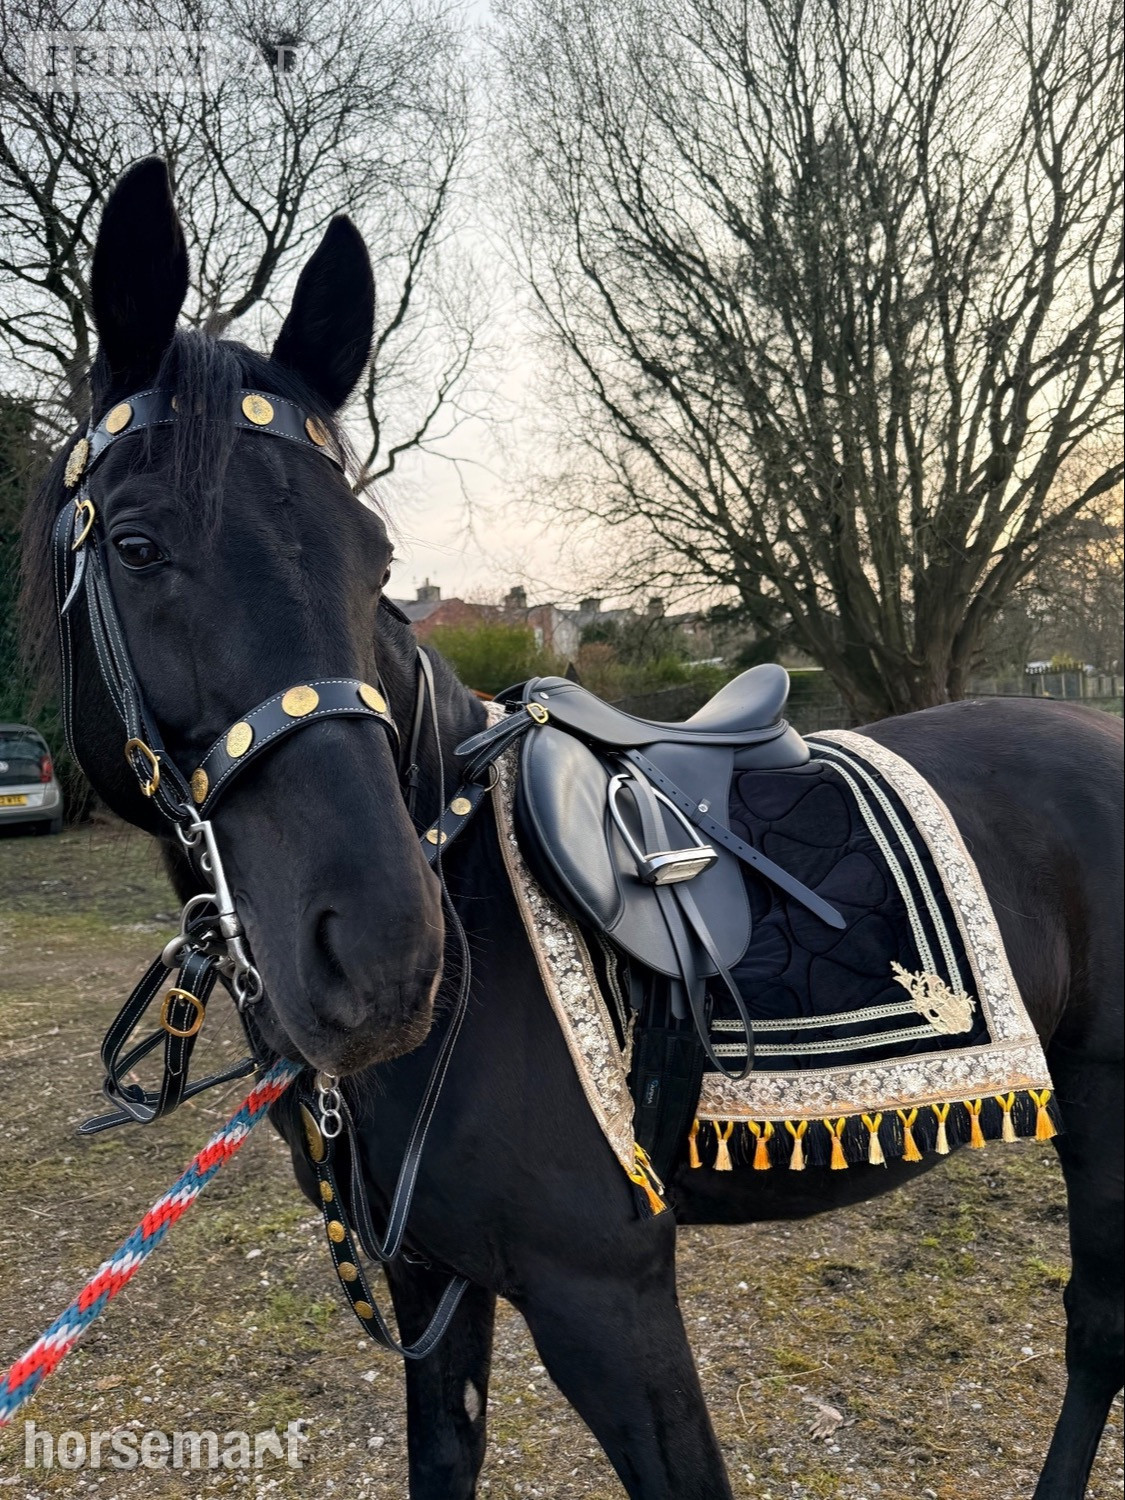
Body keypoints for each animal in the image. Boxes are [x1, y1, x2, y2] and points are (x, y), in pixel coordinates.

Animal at [19, 159, 1123, 1499]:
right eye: (135, 545)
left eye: (374, 558)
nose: (387, 959)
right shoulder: (431, 1283)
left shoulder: (610, 1301)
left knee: (1100, 1328)